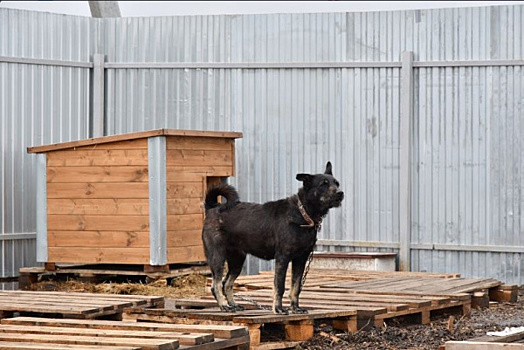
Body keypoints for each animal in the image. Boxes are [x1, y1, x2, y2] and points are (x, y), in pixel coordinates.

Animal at [202, 162, 344, 314]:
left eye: (337, 183)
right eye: (323, 184)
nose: (340, 193)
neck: (302, 213)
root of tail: (213, 207)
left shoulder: (301, 259)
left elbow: (296, 287)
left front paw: (295, 308)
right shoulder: (283, 257)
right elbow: (279, 286)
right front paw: (278, 308)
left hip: (237, 260)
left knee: (226, 283)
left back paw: (233, 304)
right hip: (218, 257)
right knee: (216, 284)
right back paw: (224, 305)